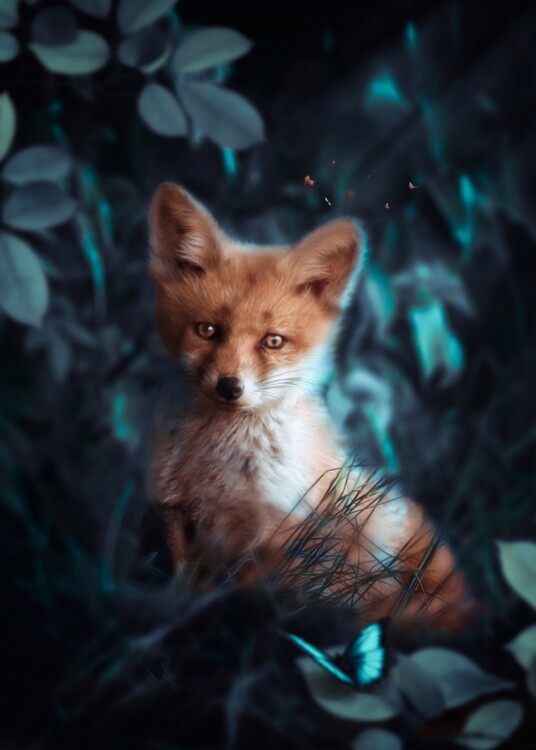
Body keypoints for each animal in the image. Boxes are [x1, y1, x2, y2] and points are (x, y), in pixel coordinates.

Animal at [146, 183, 473, 631]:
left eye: (273, 341)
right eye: (207, 330)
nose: (230, 387)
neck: (225, 470)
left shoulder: (280, 530)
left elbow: (254, 594)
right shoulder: (175, 514)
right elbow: (185, 589)